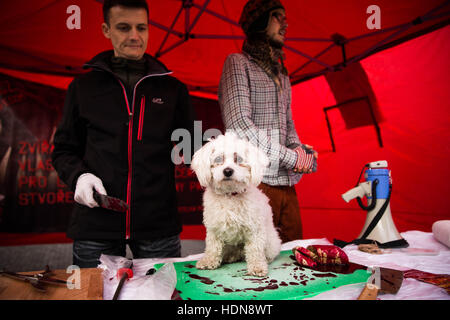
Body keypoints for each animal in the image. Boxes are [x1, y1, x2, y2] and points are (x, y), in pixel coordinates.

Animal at [191, 131, 282, 276]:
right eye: (218, 159)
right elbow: (212, 247)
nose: (228, 171)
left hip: (270, 241)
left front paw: (257, 266)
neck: (230, 195)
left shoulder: (255, 230)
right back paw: (229, 257)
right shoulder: (214, 229)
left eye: (238, 159)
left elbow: (255, 250)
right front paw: (209, 261)